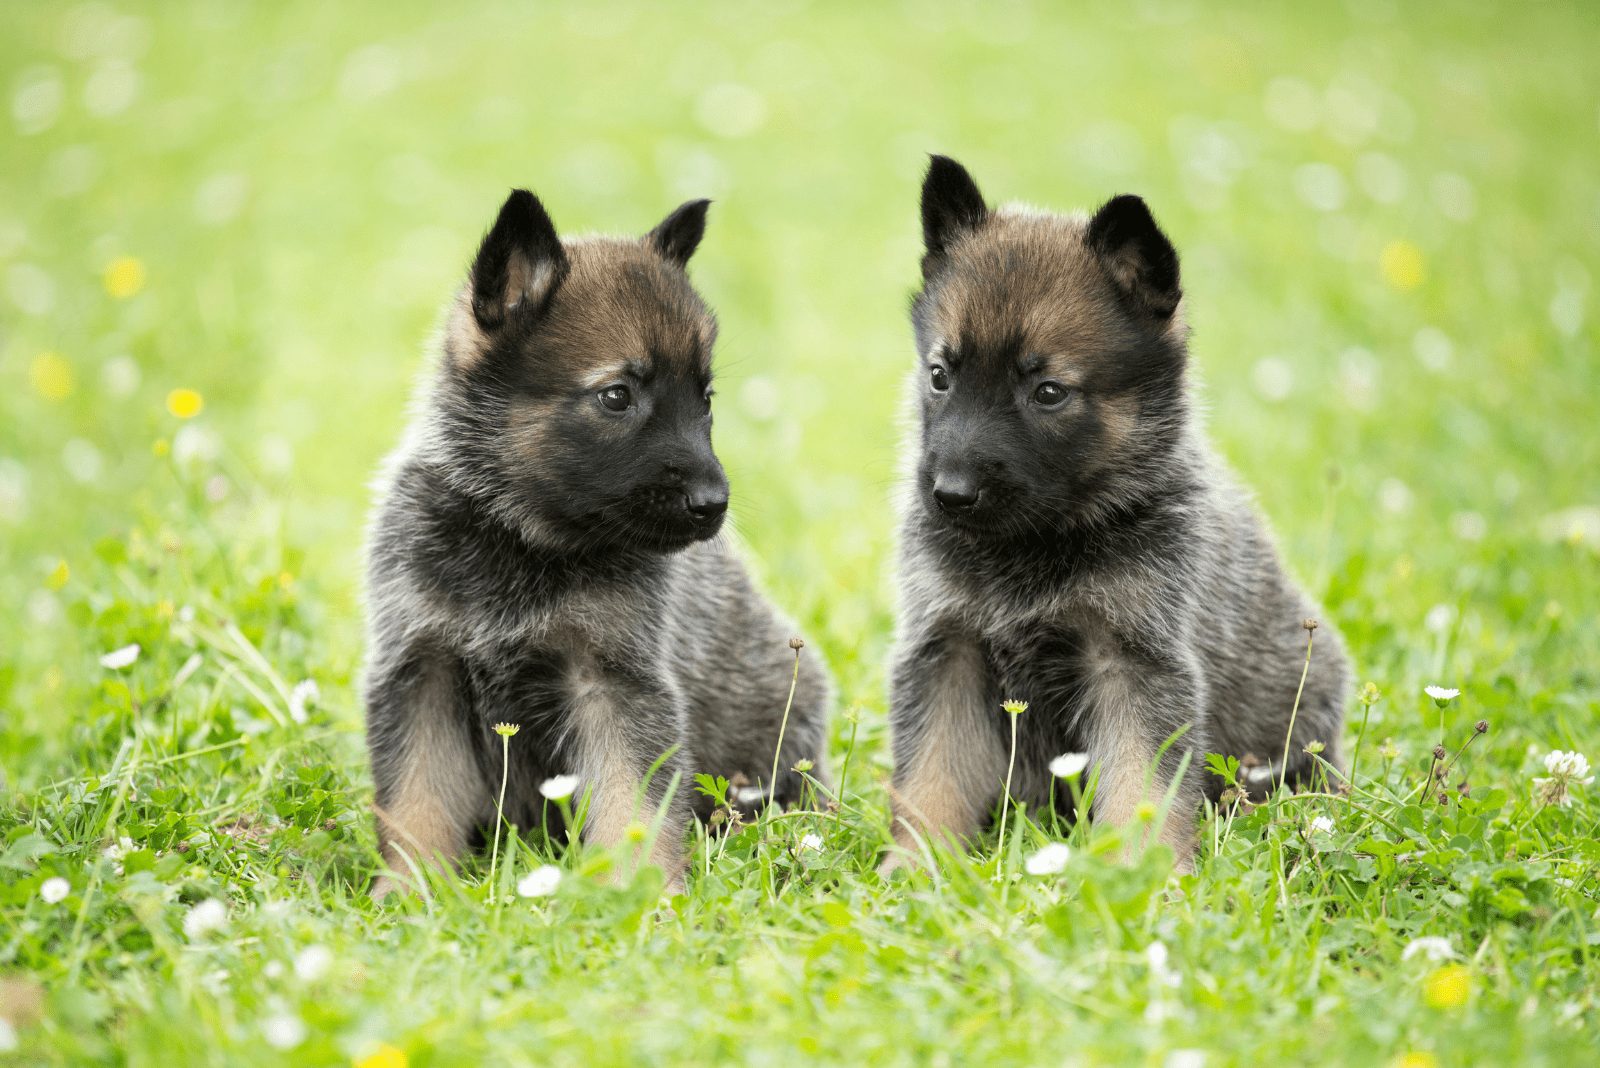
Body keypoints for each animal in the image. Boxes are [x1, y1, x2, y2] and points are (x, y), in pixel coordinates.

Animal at [364, 185, 832, 895]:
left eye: (705, 398)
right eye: (617, 396)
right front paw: (409, 893)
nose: (713, 504)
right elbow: (417, 805)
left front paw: (646, 895)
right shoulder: (424, 673)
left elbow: (632, 808)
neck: (520, 537)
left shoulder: (612, 684)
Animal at [889, 158, 1350, 876]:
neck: (1035, 546)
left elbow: (1142, 786)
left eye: (1049, 392)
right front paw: (914, 871)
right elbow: (930, 780)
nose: (950, 494)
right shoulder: (948, 653)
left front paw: (1145, 875)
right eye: (940, 375)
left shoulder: (1133, 665)